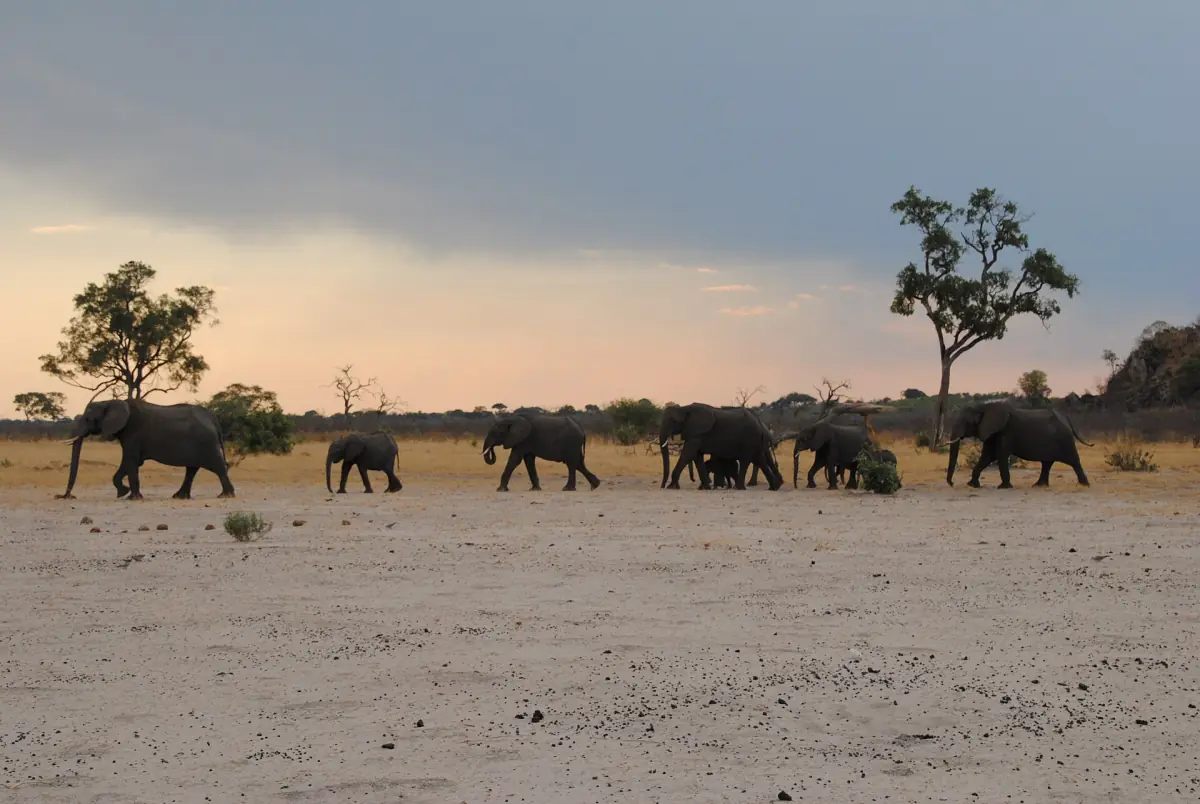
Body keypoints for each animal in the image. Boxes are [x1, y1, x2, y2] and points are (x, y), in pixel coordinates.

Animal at [57, 398, 235, 500]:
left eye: (88, 419)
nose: (66, 496)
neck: (110, 401)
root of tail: (212, 418)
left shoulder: (133, 433)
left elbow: (130, 461)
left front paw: (130, 496)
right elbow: (130, 463)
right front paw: (125, 493)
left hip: (207, 442)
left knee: (218, 467)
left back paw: (226, 495)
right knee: (192, 469)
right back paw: (179, 497)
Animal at [946, 400, 1092, 488]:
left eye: (966, 422)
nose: (951, 483)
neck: (983, 407)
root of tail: (1066, 417)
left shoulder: (1006, 431)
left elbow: (1000, 455)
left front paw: (1004, 487)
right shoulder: (992, 433)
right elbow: (987, 456)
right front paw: (972, 485)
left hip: (1065, 439)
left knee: (1074, 461)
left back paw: (1084, 485)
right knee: (1047, 463)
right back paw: (1039, 485)